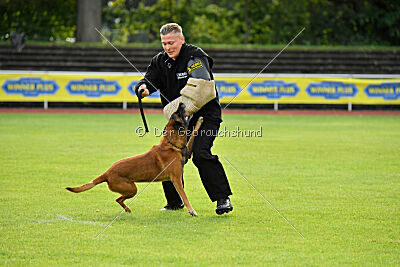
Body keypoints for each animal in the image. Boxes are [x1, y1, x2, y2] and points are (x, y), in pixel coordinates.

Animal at [66, 103, 203, 217]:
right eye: (178, 113)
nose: (181, 103)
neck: (170, 143)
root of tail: (107, 173)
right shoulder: (176, 179)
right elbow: (184, 196)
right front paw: (192, 211)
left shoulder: (186, 152)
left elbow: (193, 134)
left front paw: (200, 120)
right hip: (132, 188)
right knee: (118, 199)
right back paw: (127, 209)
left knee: (118, 199)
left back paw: (127, 209)